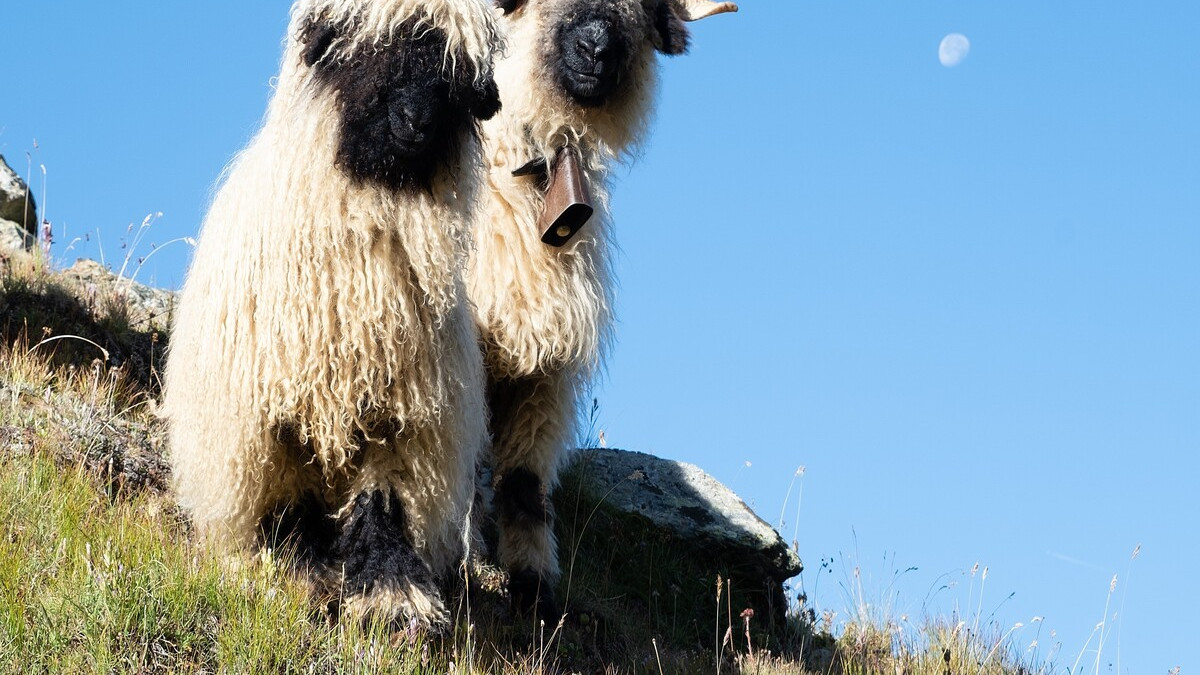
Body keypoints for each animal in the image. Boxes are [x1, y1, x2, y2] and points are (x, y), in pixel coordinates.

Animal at [162, 0, 502, 627]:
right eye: (365, 51)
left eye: (458, 80)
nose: (416, 122)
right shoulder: (278, 409)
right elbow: (286, 497)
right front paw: (296, 573)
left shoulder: (402, 415)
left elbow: (384, 499)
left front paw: (393, 598)